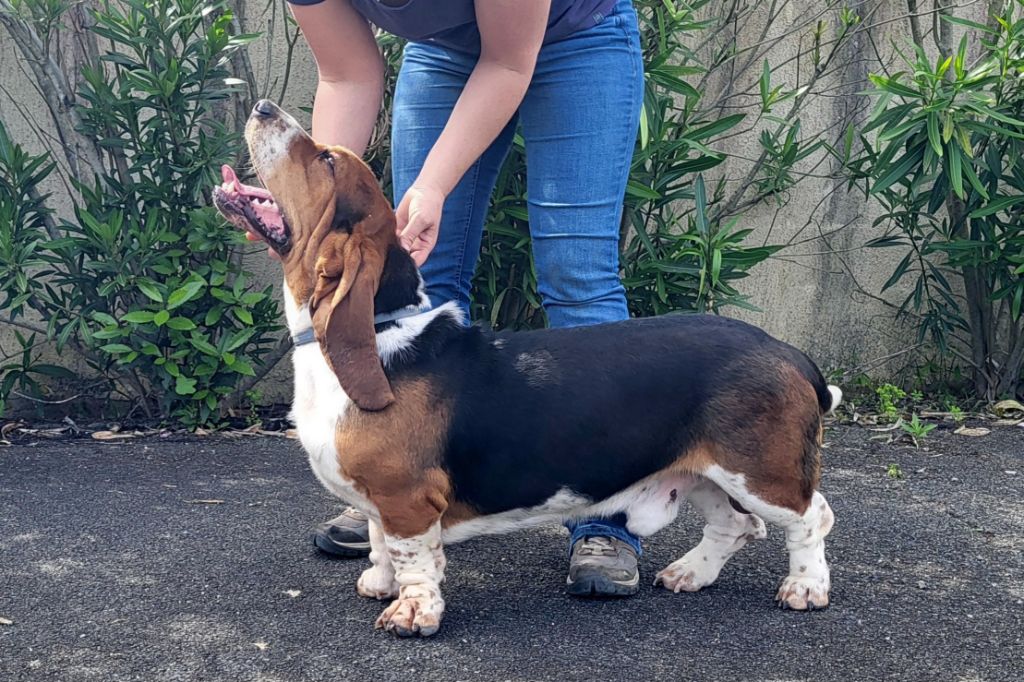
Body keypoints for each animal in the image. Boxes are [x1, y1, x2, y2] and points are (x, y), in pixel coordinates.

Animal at [214, 99, 839, 638]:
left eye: (325, 160)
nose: (263, 108)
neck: (382, 331)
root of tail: (786, 350)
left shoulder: (408, 499)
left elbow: (414, 558)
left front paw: (412, 611)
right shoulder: (379, 503)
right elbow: (378, 541)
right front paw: (379, 581)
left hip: (759, 473)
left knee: (812, 517)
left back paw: (806, 588)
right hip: (702, 470)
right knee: (737, 526)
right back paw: (690, 573)